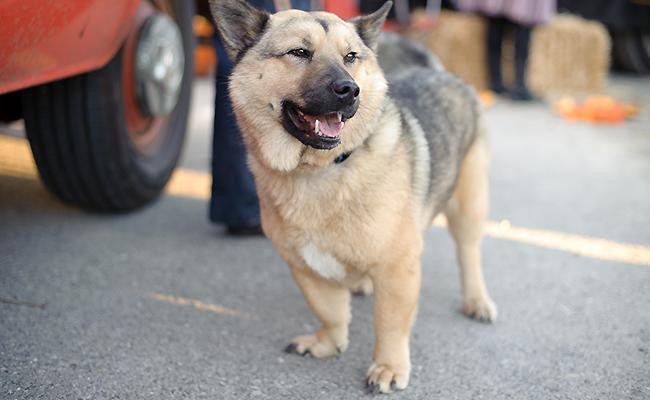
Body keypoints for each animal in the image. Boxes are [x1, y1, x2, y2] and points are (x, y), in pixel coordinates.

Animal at [208, 0, 496, 394]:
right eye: (299, 52)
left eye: (351, 57)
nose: (350, 89)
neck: (319, 169)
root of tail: (442, 73)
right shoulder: (305, 267)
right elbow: (329, 311)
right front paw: (328, 344)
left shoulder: (397, 267)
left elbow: (390, 324)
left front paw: (389, 367)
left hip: (468, 205)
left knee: (470, 253)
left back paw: (477, 300)